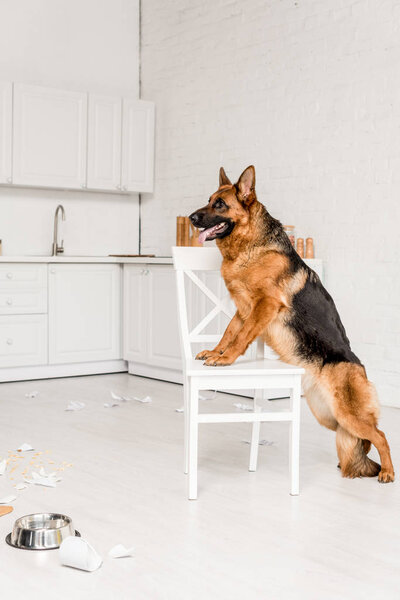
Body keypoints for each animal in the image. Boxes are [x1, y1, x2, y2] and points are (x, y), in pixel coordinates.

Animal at [190, 165, 394, 482]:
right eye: (208, 200)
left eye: (220, 204)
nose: (190, 218)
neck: (252, 246)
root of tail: (359, 366)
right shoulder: (244, 309)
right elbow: (229, 332)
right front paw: (215, 352)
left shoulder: (265, 305)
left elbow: (241, 336)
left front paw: (226, 359)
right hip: (328, 417)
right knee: (365, 439)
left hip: (348, 416)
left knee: (381, 435)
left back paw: (387, 472)